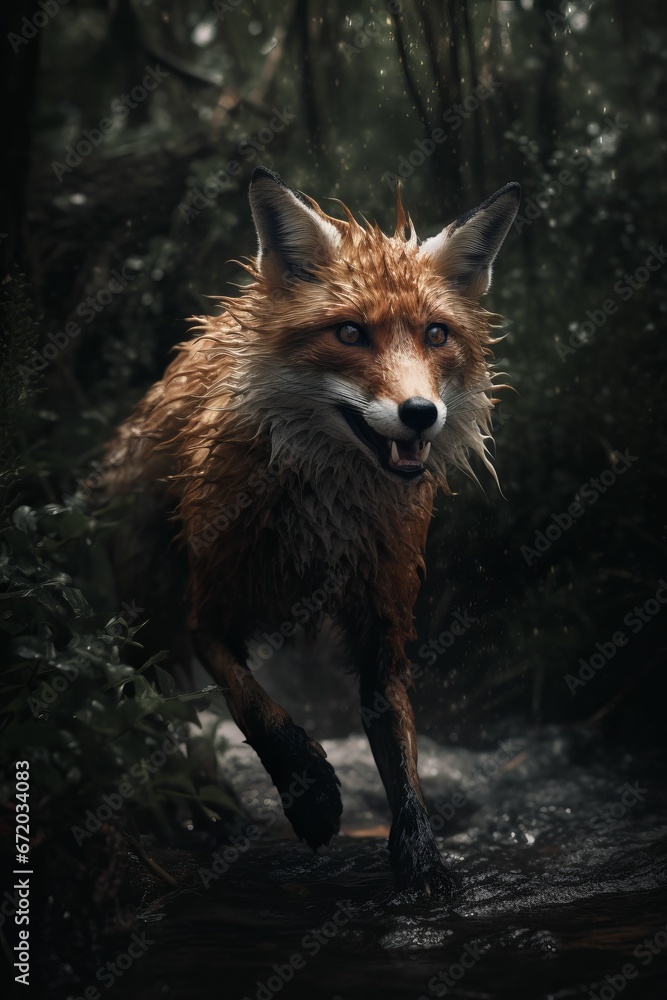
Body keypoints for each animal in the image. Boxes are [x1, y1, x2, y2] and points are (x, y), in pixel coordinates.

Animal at [97, 167, 520, 894]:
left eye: (436, 335)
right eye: (350, 334)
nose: (421, 413)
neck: (323, 514)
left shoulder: (383, 620)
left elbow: (401, 758)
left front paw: (420, 859)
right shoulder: (211, 609)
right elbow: (259, 713)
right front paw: (313, 796)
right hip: (149, 620)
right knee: (157, 712)